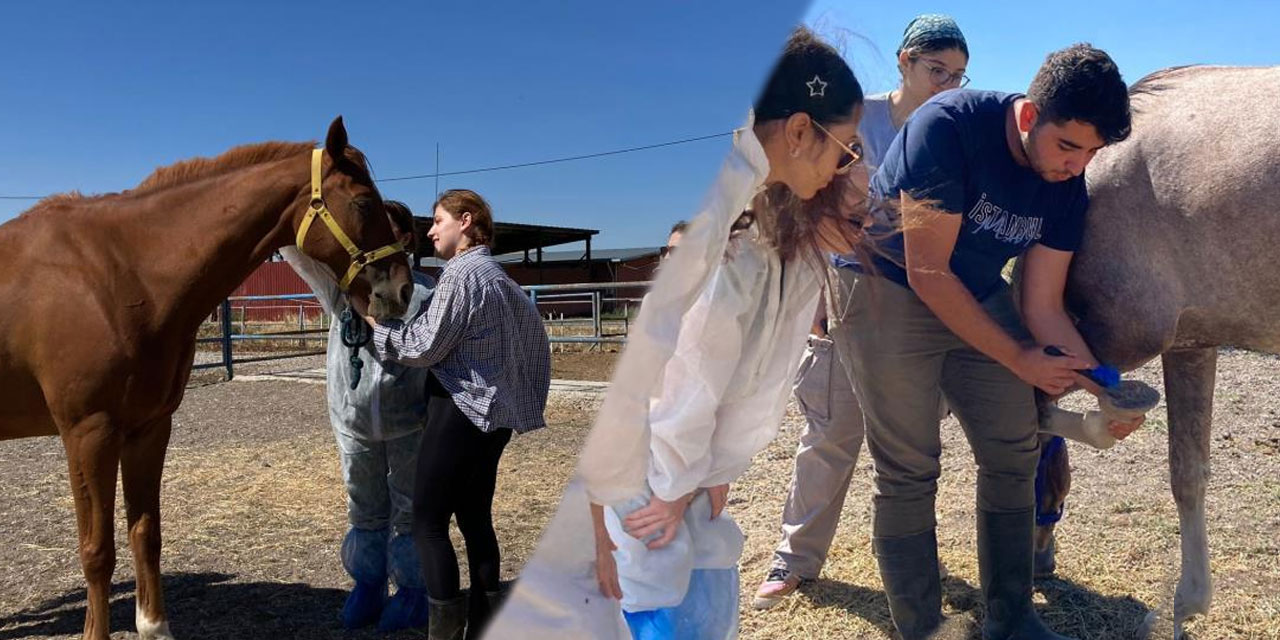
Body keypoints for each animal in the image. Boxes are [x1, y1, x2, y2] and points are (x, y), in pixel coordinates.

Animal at [0, 117, 409, 637]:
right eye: (362, 203)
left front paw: (155, 626)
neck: (117, 275)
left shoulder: (149, 429)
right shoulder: (87, 434)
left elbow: (145, 533)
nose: (402, 289)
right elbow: (97, 551)